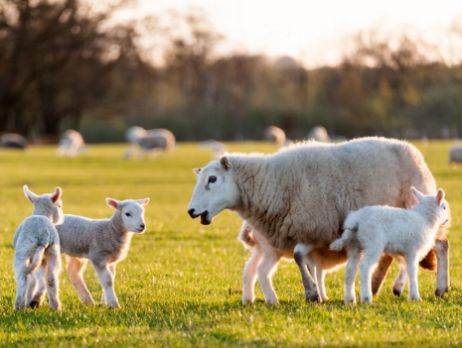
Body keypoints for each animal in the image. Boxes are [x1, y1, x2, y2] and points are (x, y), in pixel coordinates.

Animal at [188, 137, 452, 304]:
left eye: (212, 179)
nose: (190, 211)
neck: (273, 183)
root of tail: (414, 151)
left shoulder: (313, 228)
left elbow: (299, 258)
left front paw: (312, 293)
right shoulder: (307, 233)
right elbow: (305, 261)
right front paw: (316, 292)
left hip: (417, 216)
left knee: (440, 246)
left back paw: (440, 288)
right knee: (392, 255)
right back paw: (379, 286)